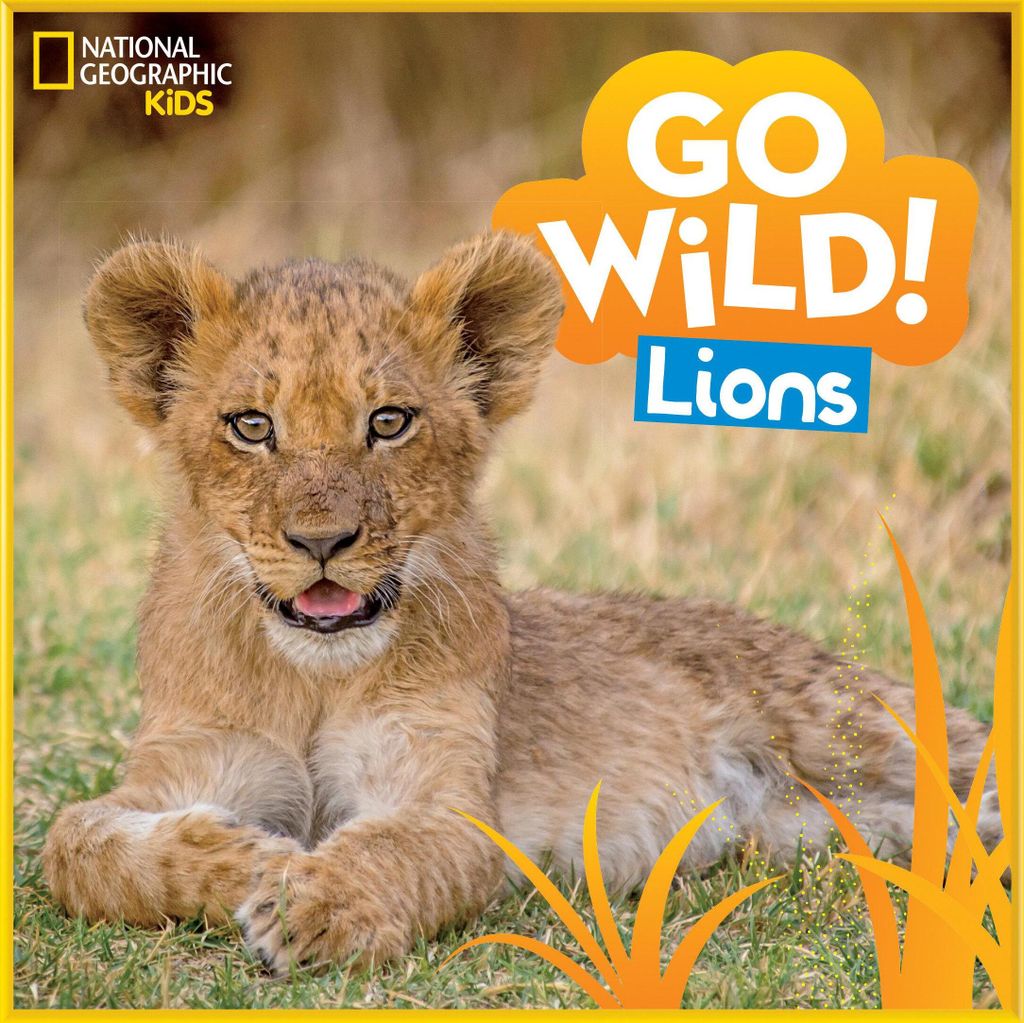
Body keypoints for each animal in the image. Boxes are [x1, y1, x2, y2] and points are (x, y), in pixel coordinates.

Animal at [43, 231, 998, 974]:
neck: (314, 676)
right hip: (827, 828)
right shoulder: (185, 761)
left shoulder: (451, 802)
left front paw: (316, 903)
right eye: (251, 425)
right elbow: (75, 844)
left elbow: (392, 846)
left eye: (388, 422)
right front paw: (249, 858)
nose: (322, 540)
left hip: (855, 725)